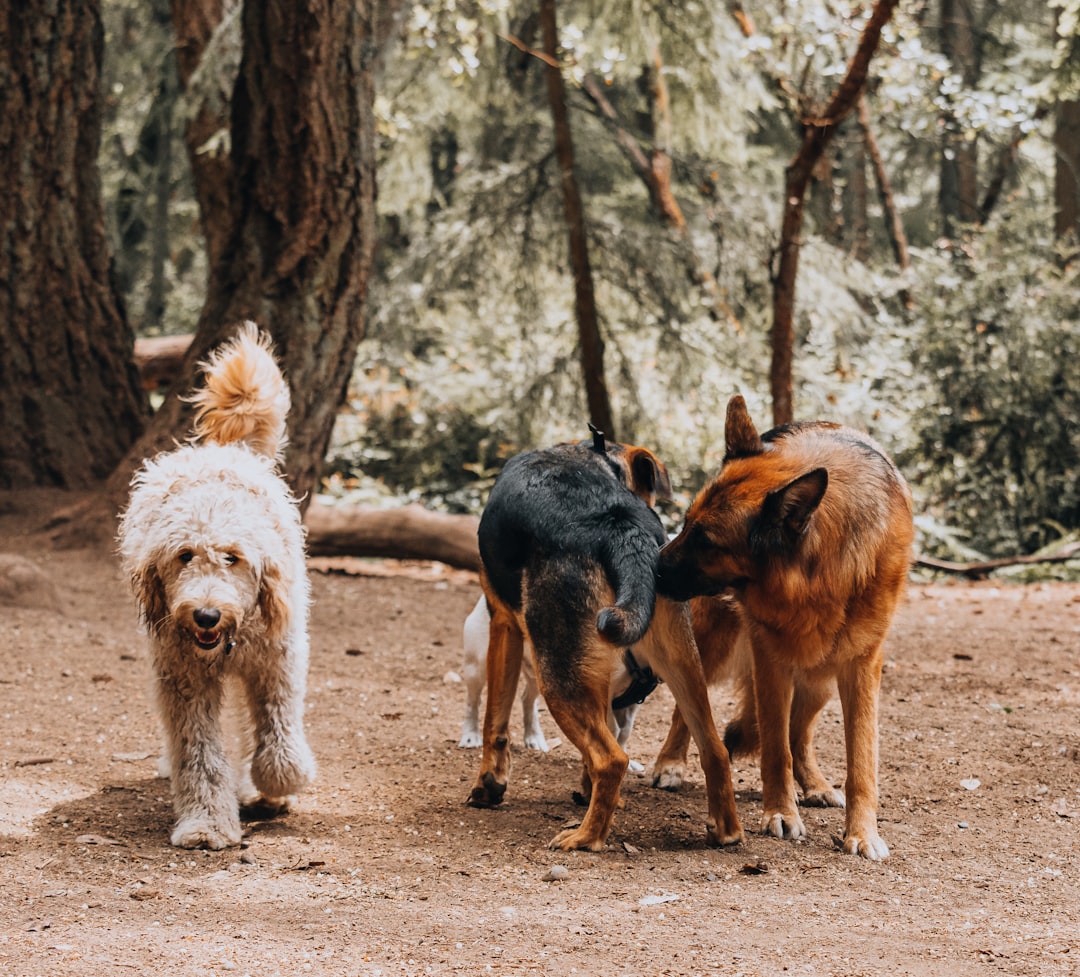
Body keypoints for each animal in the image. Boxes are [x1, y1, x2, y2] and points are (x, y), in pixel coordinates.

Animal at [120, 323, 317, 850]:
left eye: (233, 558)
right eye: (184, 555)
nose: (206, 614)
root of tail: (222, 451)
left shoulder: (276, 662)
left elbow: (277, 734)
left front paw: (277, 782)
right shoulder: (185, 682)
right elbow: (199, 756)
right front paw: (206, 824)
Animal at [468, 431, 747, 850]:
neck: (596, 456)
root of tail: (618, 525)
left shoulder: (503, 624)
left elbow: (494, 721)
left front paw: (489, 784)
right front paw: (589, 792)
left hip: (558, 675)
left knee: (611, 759)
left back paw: (586, 837)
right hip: (683, 663)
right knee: (713, 749)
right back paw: (725, 831)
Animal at [652, 392, 915, 859]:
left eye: (706, 541)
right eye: (685, 524)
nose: (652, 567)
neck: (820, 575)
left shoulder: (862, 666)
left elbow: (861, 760)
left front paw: (863, 833)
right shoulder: (770, 660)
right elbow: (774, 747)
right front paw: (780, 812)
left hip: (818, 680)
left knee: (800, 734)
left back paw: (814, 784)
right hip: (713, 648)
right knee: (688, 710)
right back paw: (671, 763)